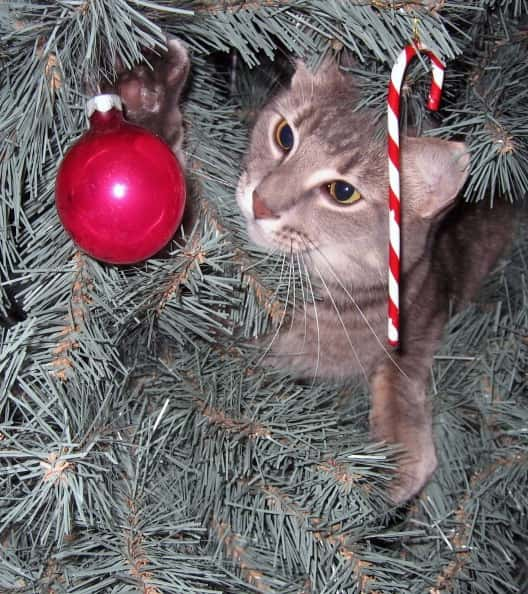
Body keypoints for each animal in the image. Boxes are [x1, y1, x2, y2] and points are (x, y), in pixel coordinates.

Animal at [236, 59, 516, 500]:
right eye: (284, 136)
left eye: (342, 192)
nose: (261, 202)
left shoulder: (428, 298)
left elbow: (400, 365)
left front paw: (399, 452)